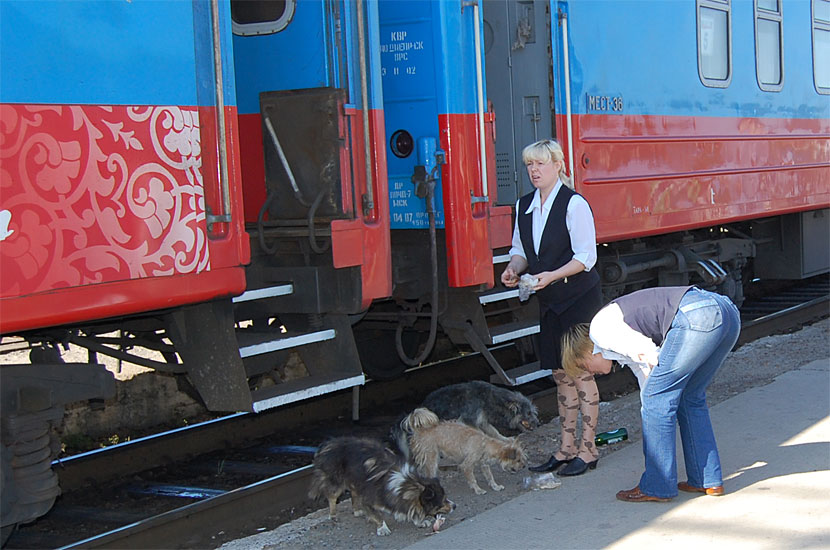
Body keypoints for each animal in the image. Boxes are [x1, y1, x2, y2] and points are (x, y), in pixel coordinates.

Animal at [400, 410, 528, 496]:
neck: (485, 444)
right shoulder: (467, 466)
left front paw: (495, 486)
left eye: (522, 460)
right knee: (429, 474)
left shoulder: (484, 465)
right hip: (431, 459)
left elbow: (490, 477)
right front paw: (478, 490)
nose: (524, 466)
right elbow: (472, 479)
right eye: (518, 460)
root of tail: (419, 430)